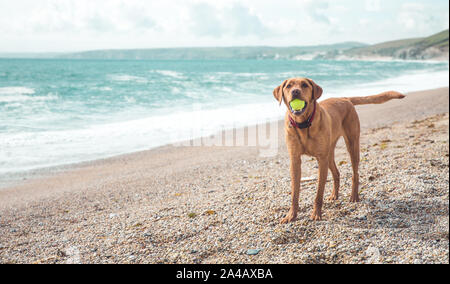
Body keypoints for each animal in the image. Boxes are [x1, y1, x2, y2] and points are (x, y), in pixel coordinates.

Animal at [272, 77, 406, 222]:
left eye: (304, 85)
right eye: (289, 86)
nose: (295, 91)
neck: (303, 124)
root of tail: (344, 98)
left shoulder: (321, 160)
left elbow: (319, 193)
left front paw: (316, 213)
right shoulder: (295, 160)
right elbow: (294, 193)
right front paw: (291, 215)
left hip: (352, 145)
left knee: (355, 173)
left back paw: (354, 196)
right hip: (329, 154)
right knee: (336, 173)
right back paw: (334, 195)